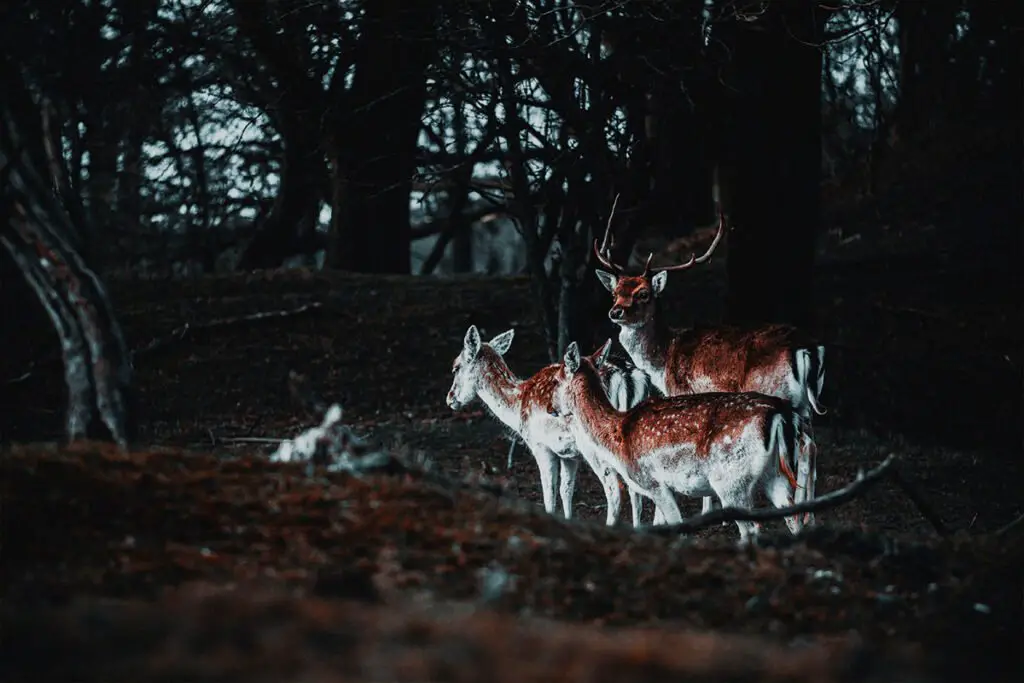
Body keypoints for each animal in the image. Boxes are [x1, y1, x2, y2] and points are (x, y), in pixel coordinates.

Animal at [448, 325, 663, 528]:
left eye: (456, 367)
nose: (450, 399)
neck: (517, 407)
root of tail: (629, 377)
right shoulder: (569, 454)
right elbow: (565, 490)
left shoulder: (541, 446)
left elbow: (549, 493)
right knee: (639, 490)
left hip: (595, 444)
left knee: (616, 489)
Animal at [552, 342, 806, 544]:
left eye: (555, 380)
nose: (551, 408)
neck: (616, 438)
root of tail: (780, 414)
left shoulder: (653, 482)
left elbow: (679, 529)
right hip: (775, 474)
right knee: (794, 518)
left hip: (731, 480)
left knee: (752, 527)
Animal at [593, 205, 823, 528]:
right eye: (616, 293)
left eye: (643, 294)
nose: (615, 312)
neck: (663, 359)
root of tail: (807, 349)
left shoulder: (682, 391)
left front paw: (710, 512)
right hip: (804, 403)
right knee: (811, 445)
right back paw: (809, 511)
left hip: (779, 391)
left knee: (803, 446)